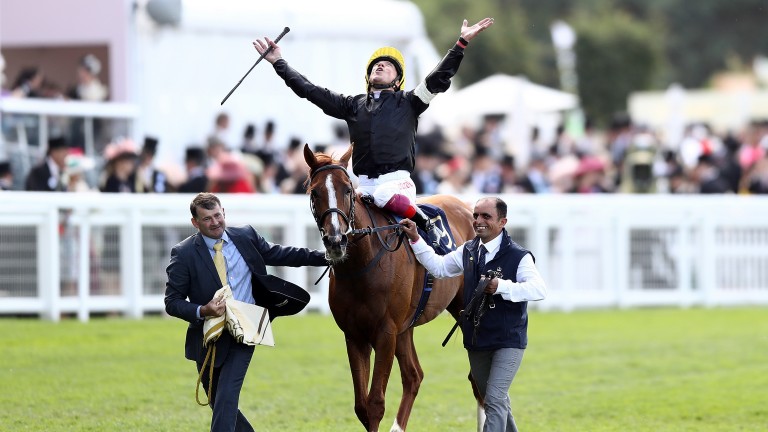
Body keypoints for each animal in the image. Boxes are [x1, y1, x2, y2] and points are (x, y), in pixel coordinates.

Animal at [304, 146, 476, 432]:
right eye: (314, 192)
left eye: (347, 189)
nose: (336, 240)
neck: (361, 265)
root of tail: (467, 207)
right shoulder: (355, 335)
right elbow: (362, 406)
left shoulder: (385, 332)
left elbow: (375, 403)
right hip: (406, 327)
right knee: (414, 375)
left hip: (462, 308)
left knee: (478, 377)